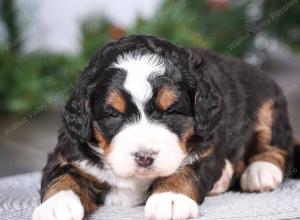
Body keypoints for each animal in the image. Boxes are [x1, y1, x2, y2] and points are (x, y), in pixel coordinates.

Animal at [32, 34, 296, 220]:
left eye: (171, 111)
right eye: (113, 114)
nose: (144, 157)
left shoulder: (206, 148)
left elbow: (184, 170)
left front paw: (170, 198)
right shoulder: (70, 152)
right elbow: (62, 176)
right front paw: (56, 205)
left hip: (268, 105)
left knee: (278, 146)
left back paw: (261, 171)